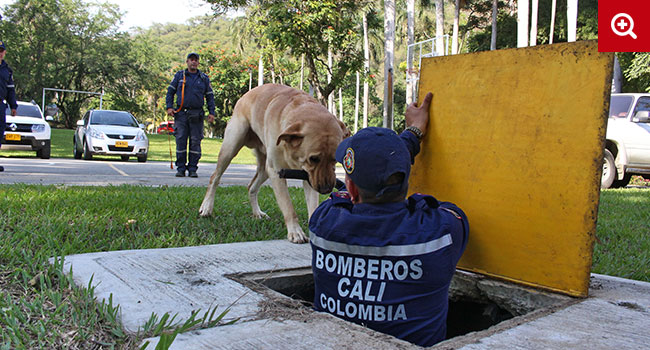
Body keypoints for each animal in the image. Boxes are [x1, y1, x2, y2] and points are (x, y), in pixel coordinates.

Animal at [199, 85, 346, 243]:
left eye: (335, 159)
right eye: (313, 158)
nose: (326, 189)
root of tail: (246, 95)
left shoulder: (309, 177)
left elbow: (313, 206)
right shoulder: (277, 172)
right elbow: (288, 206)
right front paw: (295, 231)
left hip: (264, 169)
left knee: (251, 187)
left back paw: (257, 213)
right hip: (231, 146)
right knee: (215, 177)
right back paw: (206, 207)